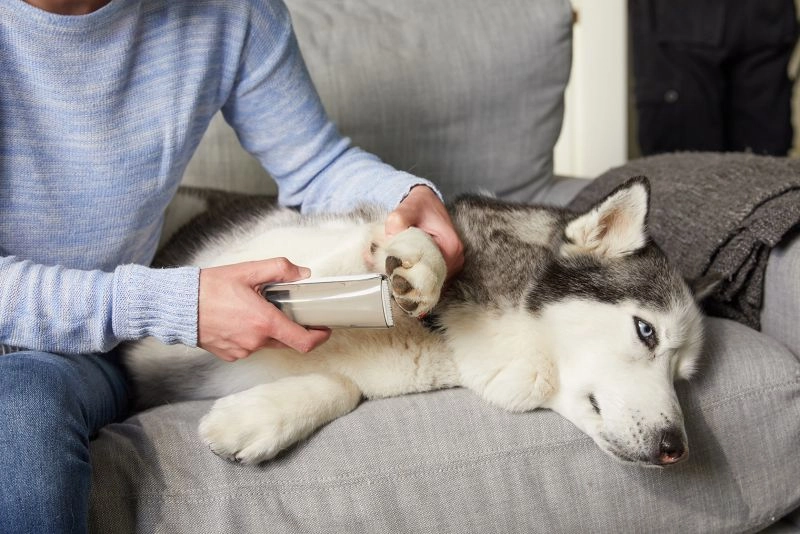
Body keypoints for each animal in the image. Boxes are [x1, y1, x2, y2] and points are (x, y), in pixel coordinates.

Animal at [126, 179, 712, 468]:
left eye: (682, 375)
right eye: (646, 332)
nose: (677, 450)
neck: (440, 333)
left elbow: (344, 387)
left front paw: (255, 419)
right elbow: (362, 251)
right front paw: (420, 260)